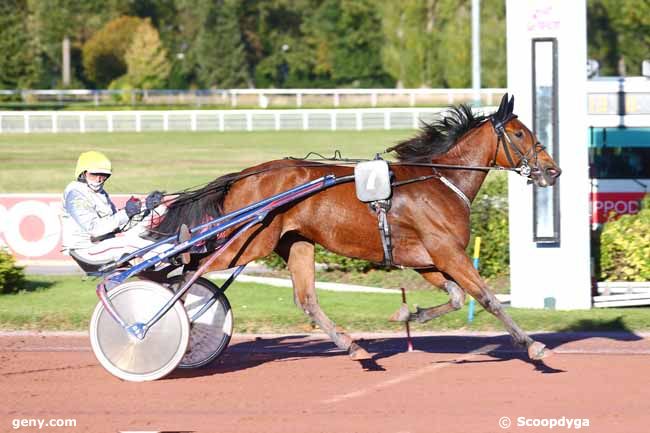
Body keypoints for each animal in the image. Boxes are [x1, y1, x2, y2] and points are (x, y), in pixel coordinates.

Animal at [151, 94, 556, 362]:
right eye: (520, 133)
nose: (553, 170)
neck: (440, 180)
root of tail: (246, 175)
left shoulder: (427, 260)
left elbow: (457, 298)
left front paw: (408, 315)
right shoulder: (448, 253)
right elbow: (487, 298)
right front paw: (532, 344)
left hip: (295, 243)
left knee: (307, 299)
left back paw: (353, 346)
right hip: (248, 243)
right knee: (189, 268)